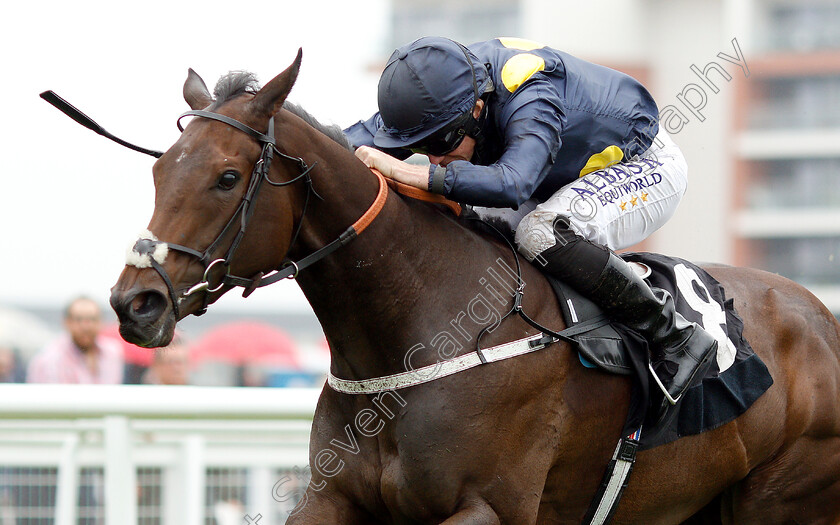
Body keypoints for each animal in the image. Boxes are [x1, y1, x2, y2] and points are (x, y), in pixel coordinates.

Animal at [108, 52, 840, 520]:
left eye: (227, 177)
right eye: (159, 171)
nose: (134, 301)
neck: (420, 328)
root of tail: (821, 316)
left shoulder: (488, 507)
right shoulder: (333, 498)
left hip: (782, 498)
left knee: (546, 227)